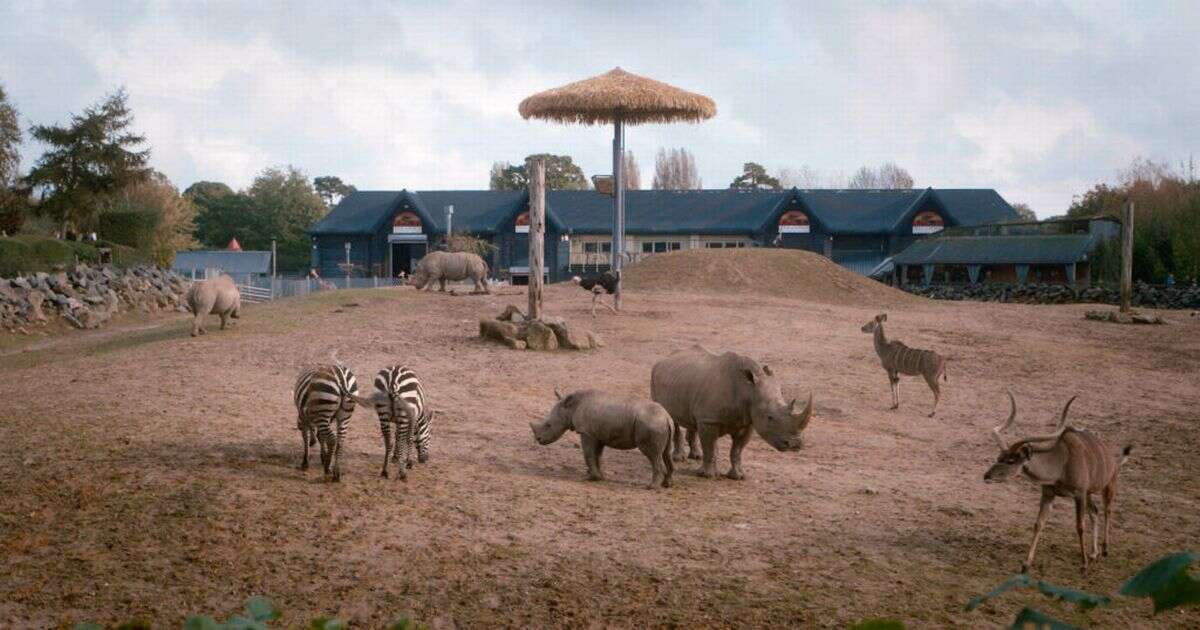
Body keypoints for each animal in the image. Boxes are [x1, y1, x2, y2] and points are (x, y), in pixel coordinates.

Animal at [984, 393, 1132, 573]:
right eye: (999, 457)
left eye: (1011, 461)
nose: (987, 476)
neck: (1061, 464)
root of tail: (1114, 461)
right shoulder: (1049, 493)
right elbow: (1038, 524)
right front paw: (1026, 564)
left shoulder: (1079, 494)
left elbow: (1080, 526)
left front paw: (1083, 566)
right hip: (1089, 493)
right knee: (1095, 511)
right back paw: (1093, 554)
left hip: (1109, 485)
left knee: (1107, 510)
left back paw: (1104, 550)